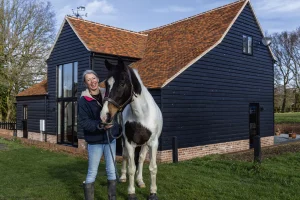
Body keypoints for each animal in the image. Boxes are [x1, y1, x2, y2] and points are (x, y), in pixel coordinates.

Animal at [100, 57, 162, 200]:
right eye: (106, 83)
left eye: (122, 83)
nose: (105, 115)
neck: (142, 115)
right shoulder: (129, 142)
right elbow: (131, 168)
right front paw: (131, 193)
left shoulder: (153, 143)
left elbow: (152, 167)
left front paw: (153, 192)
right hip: (124, 141)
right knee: (125, 157)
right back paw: (123, 177)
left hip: (144, 144)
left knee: (141, 159)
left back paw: (140, 181)